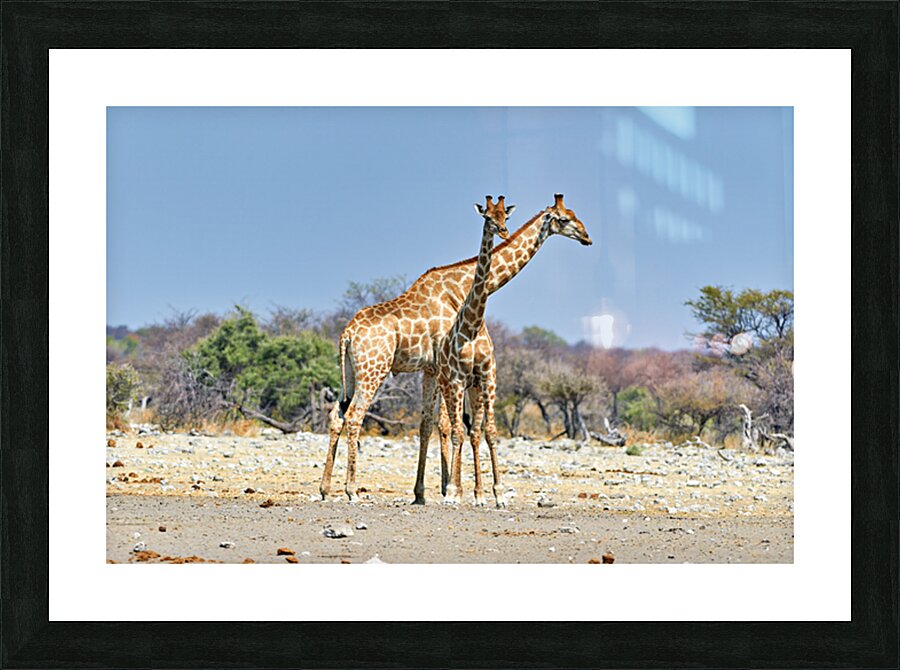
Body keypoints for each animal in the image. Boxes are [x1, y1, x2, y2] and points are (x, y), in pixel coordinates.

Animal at [320, 193, 592, 502]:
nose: (586, 237)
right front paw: (452, 487)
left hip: (351, 373)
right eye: (564, 219)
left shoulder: (431, 369)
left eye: (576, 214)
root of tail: (347, 334)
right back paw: (352, 489)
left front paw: (425, 492)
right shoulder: (446, 369)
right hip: (373, 370)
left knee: (337, 415)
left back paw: (326, 488)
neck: (460, 286)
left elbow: (429, 424)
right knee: (355, 417)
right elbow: (450, 425)